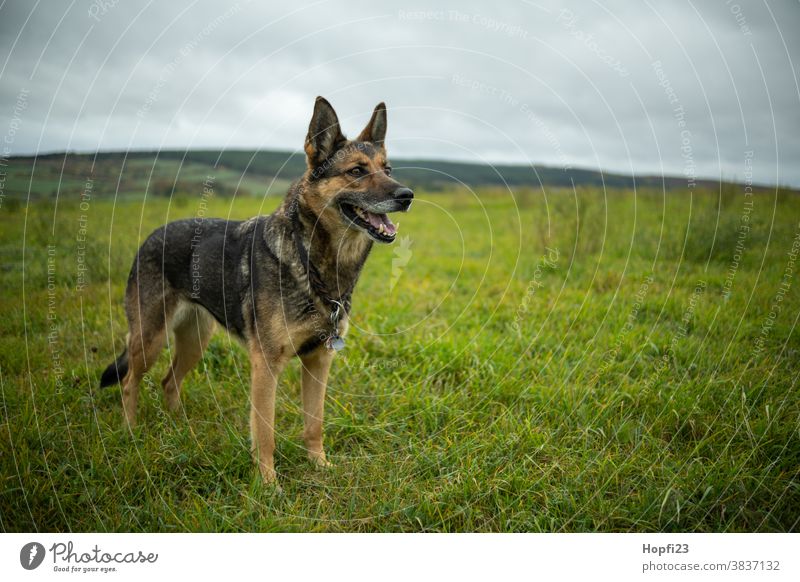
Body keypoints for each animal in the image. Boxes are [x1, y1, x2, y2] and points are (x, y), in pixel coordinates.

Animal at [99, 98, 412, 486]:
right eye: (356, 171)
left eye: (388, 169)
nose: (407, 196)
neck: (311, 261)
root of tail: (153, 234)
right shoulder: (266, 365)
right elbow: (265, 432)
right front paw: (268, 483)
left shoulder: (318, 362)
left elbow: (314, 423)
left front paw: (319, 465)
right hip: (150, 338)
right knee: (130, 381)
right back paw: (130, 432)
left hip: (196, 340)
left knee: (169, 381)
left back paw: (177, 430)